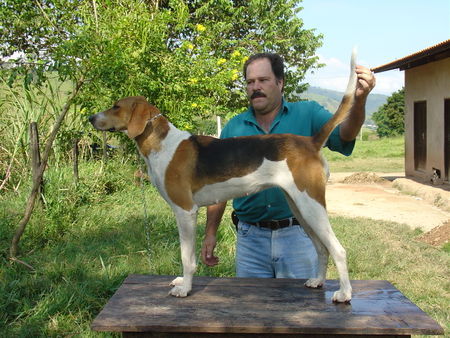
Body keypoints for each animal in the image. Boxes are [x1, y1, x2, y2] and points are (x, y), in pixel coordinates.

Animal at [89, 50, 358, 304]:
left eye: (116, 106)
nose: (91, 118)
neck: (162, 143)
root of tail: (310, 142)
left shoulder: (185, 211)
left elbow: (187, 257)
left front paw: (185, 288)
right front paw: (182, 281)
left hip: (311, 205)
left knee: (339, 250)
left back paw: (345, 293)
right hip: (300, 207)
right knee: (322, 248)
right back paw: (318, 281)